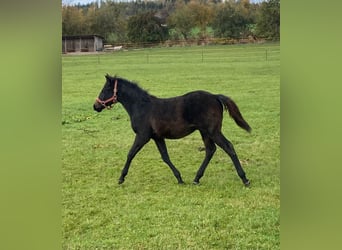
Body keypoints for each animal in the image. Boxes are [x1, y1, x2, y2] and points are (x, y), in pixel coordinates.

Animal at [93, 75, 251, 187]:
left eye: (104, 90)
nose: (95, 106)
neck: (142, 107)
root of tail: (215, 96)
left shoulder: (143, 135)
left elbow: (131, 153)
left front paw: (121, 178)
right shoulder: (157, 137)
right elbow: (165, 157)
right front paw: (179, 178)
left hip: (213, 131)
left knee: (228, 147)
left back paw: (245, 179)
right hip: (205, 132)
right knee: (210, 150)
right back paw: (196, 179)